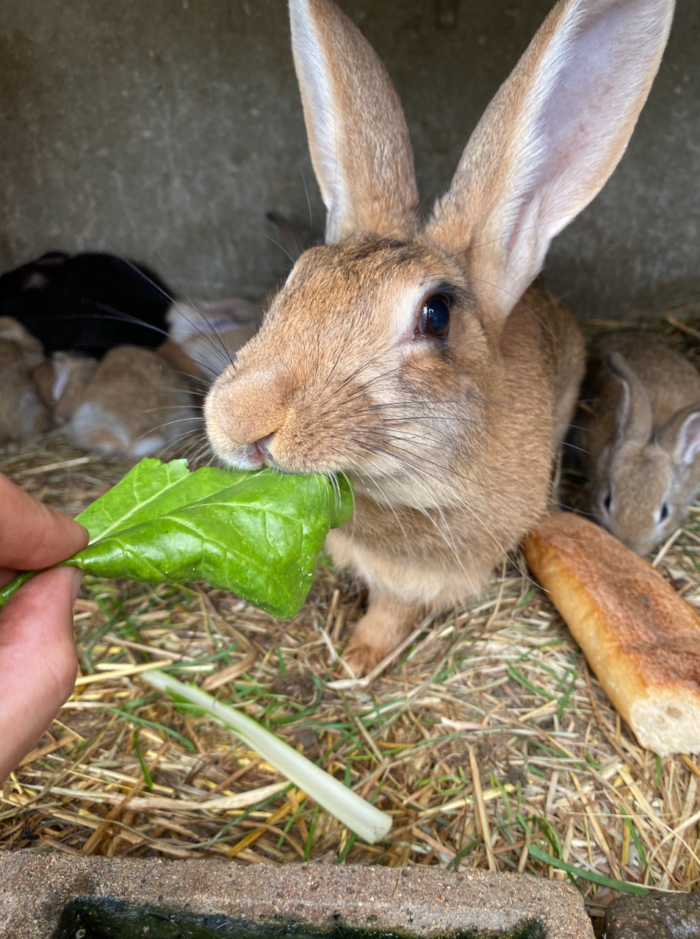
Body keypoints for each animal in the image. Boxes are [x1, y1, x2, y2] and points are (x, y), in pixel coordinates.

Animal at [205, 0, 676, 676]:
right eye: (297, 277)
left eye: (436, 315)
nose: (239, 416)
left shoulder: (427, 576)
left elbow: (393, 611)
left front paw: (358, 661)